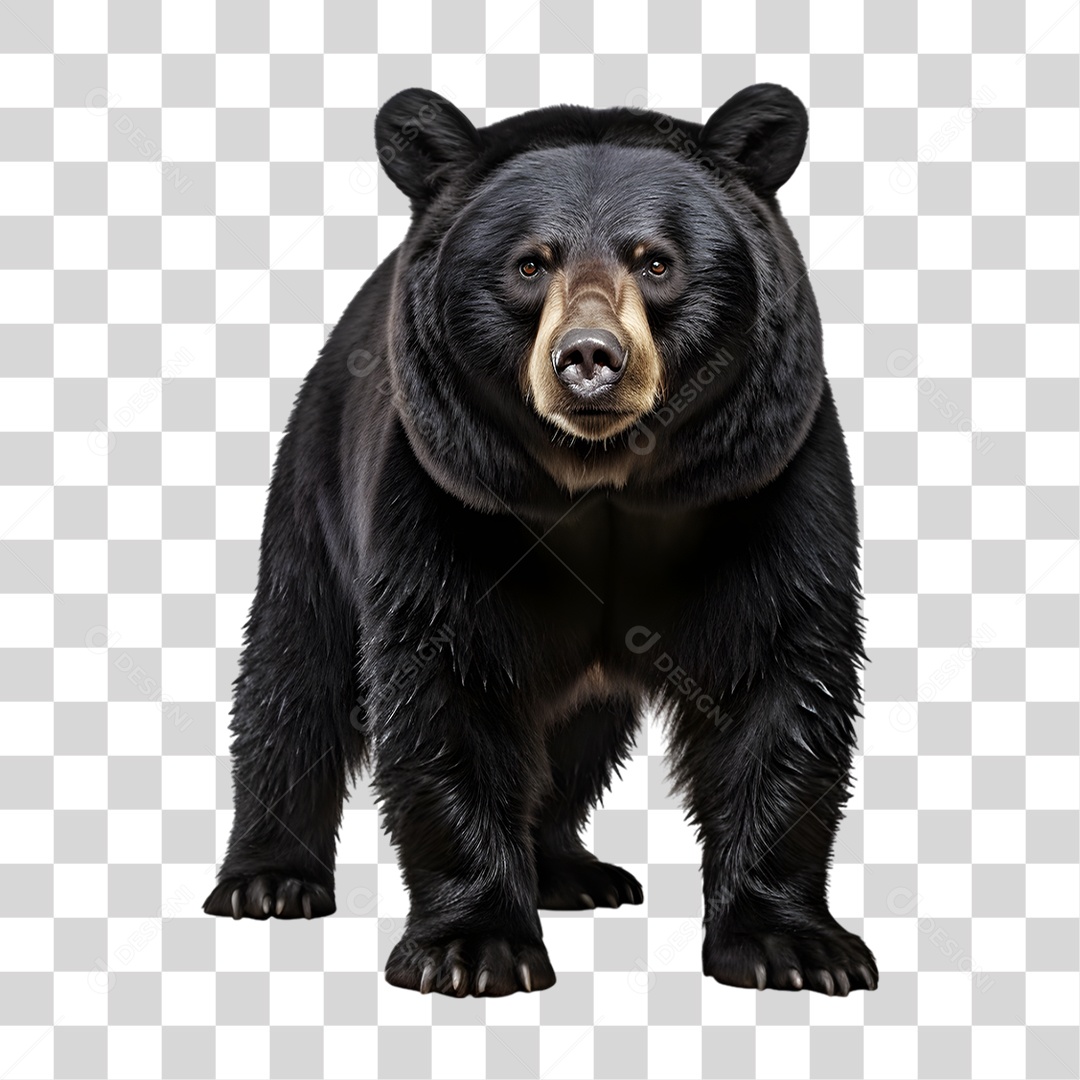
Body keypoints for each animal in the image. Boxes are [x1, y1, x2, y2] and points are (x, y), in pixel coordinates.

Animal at [204, 83, 878, 999]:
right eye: (530, 264)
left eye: (655, 262)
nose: (590, 357)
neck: (603, 484)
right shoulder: (451, 502)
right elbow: (445, 685)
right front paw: (473, 946)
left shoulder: (762, 485)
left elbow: (777, 673)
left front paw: (794, 944)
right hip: (316, 476)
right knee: (295, 664)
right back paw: (269, 879)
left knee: (575, 733)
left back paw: (569, 868)